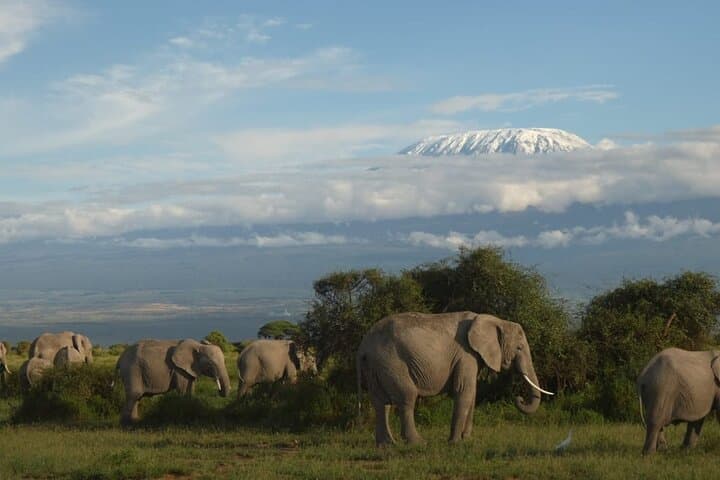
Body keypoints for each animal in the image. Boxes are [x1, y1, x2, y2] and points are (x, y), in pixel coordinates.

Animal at [356, 311, 553, 446]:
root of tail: (363, 346)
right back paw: (418, 443)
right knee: (406, 397)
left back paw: (387, 445)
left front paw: (467, 439)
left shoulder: (472, 356)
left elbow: (472, 394)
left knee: (381, 403)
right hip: (391, 361)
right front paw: (455, 443)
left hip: (376, 365)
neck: (495, 320)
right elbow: (464, 390)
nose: (519, 398)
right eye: (519, 348)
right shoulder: (465, 355)